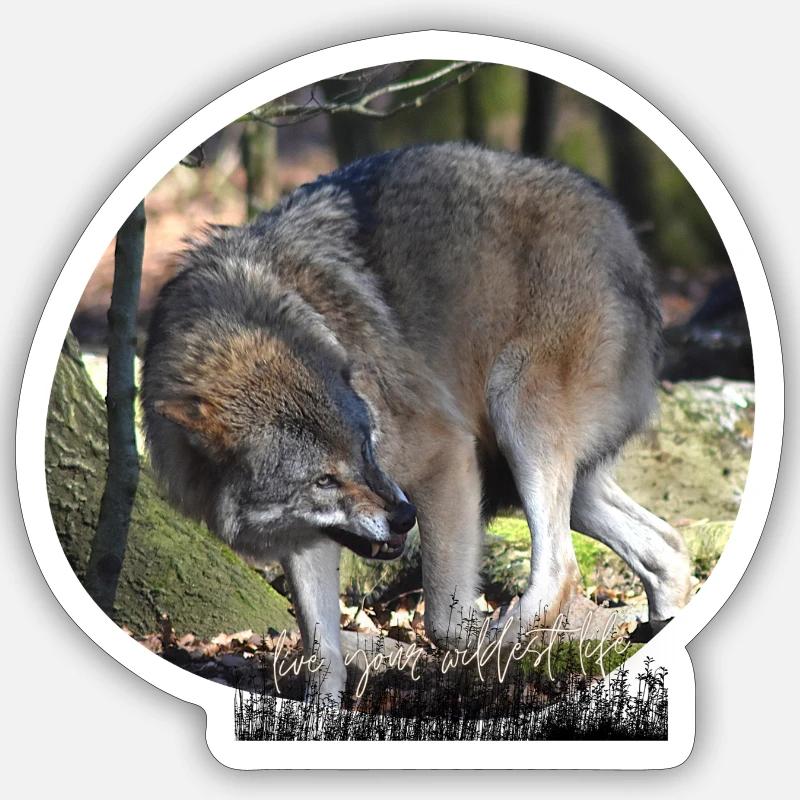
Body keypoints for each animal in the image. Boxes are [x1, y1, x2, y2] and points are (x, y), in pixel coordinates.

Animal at [141, 142, 692, 700]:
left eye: (365, 448)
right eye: (324, 480)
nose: (404, 517)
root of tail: (616, 220)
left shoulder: (445, 456)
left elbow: (444, 621)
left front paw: (469, 651)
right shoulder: (305, 540)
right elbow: (321, 655)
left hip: (515, 413)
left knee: (560, 569)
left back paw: (508, 643)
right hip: (551, 480)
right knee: (666, 548)